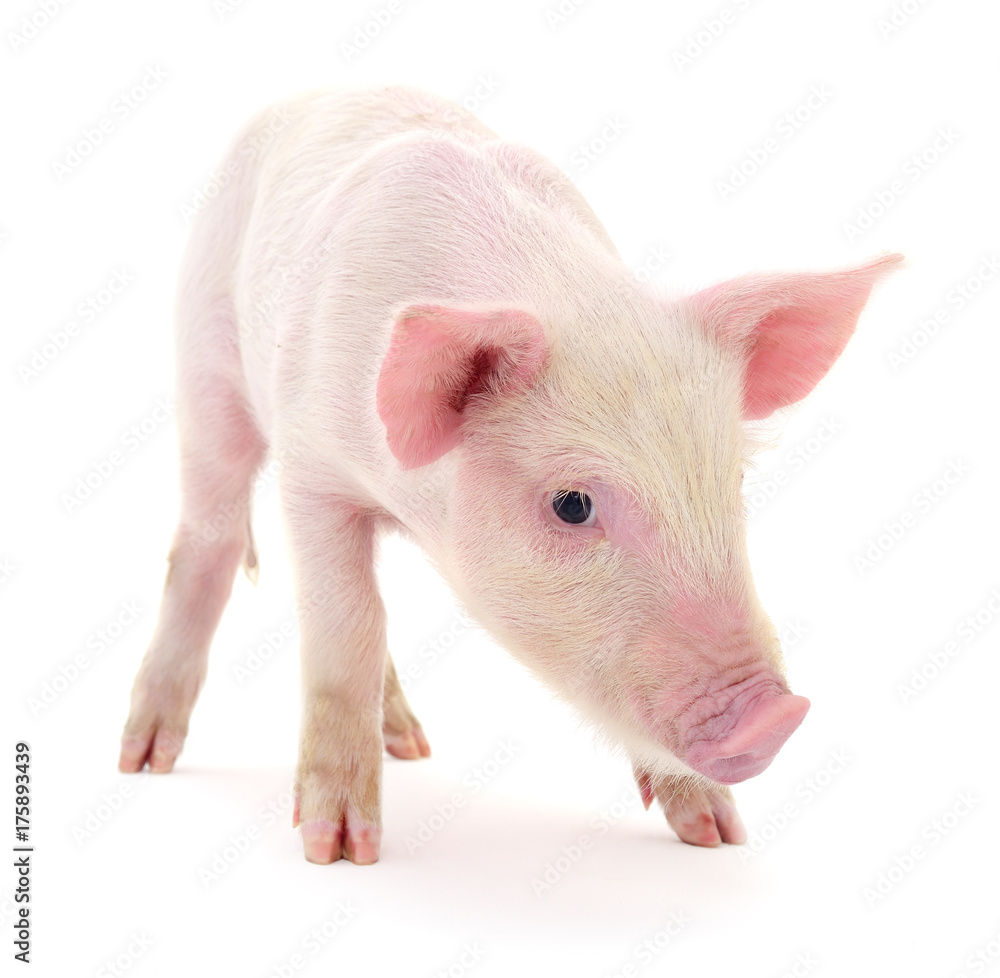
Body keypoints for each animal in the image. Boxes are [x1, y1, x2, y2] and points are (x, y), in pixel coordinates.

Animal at [118, 84, 901, 864]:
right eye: (572, 504)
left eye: (734, 482)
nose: (778, 716)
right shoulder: (313, 467)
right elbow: (348, 623)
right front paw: (339, 850)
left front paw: (717, 835)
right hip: (204, 357)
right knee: (207, 538)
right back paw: (144, 759)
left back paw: (412, 745)